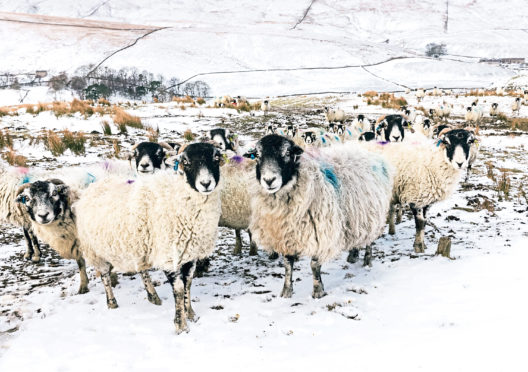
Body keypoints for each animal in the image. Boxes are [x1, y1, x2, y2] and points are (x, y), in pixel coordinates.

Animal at [248, 134, 392, 296]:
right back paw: (353, 255)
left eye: (287, 153)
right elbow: (287, 264)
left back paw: (367, 260)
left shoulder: (320, 231)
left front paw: (318, 291)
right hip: (355, 216)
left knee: (369, 239)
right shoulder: (286, 234)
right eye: (257, 156)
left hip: (371, 213)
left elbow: (314, 264)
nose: (269, 180)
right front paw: (286, 291)